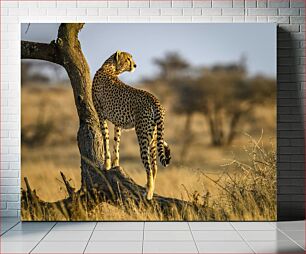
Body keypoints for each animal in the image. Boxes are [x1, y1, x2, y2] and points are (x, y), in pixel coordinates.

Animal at [92, 50, 171, 200]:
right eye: (128, 58)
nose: (135, 65)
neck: (109, 67)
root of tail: (154, 98)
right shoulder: (117, 123)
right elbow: (116, 142)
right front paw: (115, 164)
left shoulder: (101, 114)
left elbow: (105, 139)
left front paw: (106, 164)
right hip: (153, 137)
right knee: (155, 165)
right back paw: (150, 187)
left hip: (142, 135)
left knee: (148, 166)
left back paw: (149, 192)